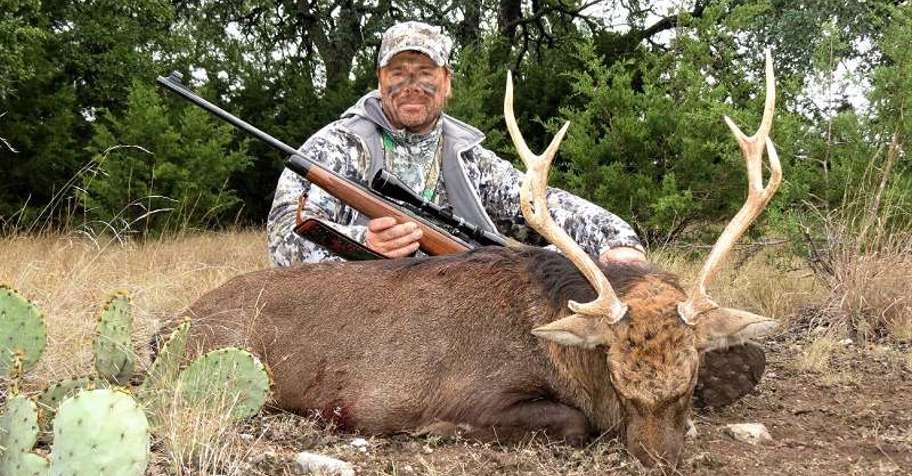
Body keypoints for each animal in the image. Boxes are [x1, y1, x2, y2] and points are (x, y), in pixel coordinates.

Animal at [174, 51, 781, 468]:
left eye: (693, 373)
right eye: (614, 369)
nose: (658, 458)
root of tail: (170, 327)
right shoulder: (475, 391)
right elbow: (572, 423)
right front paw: (440, 431)